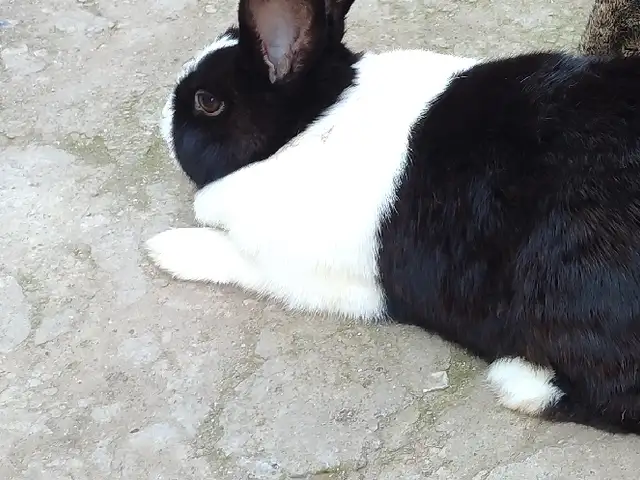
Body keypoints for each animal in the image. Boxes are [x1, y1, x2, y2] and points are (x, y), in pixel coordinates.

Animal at [147, 0, 640, 435]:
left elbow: (228, 256)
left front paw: (165, 248)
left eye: (207, 102)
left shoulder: (299, 272)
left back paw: (520, 384)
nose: (159, 122)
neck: (310, 124)